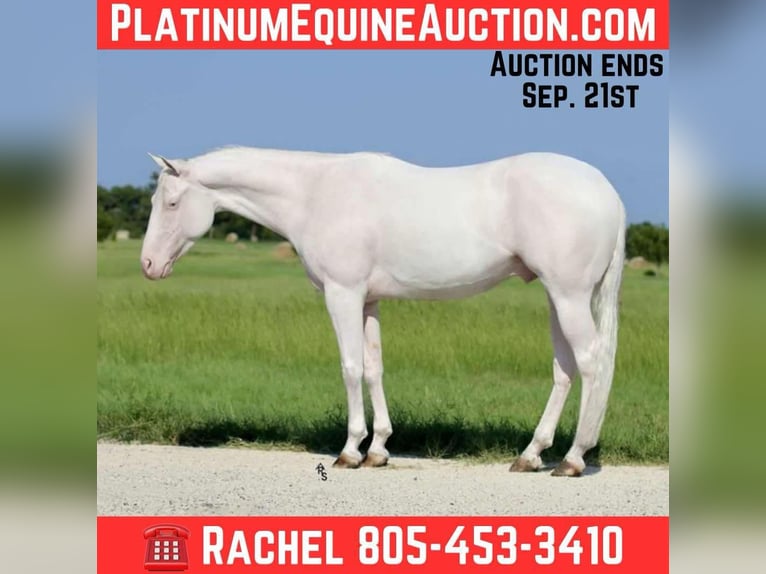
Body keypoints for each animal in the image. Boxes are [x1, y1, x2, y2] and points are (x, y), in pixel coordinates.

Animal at [141, 146, 625, 477]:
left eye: (171, 203)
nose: (148, 265)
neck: (315, 194)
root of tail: (608, 193)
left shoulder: (342, 294)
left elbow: (351, 367)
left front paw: (350, 450)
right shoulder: (368, 300)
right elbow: (374, 368)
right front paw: (378, 450)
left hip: (569, 296)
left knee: (591, 363)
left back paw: (573, 459)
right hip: (557, 298)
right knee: (564, 370)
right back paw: (531, 455)